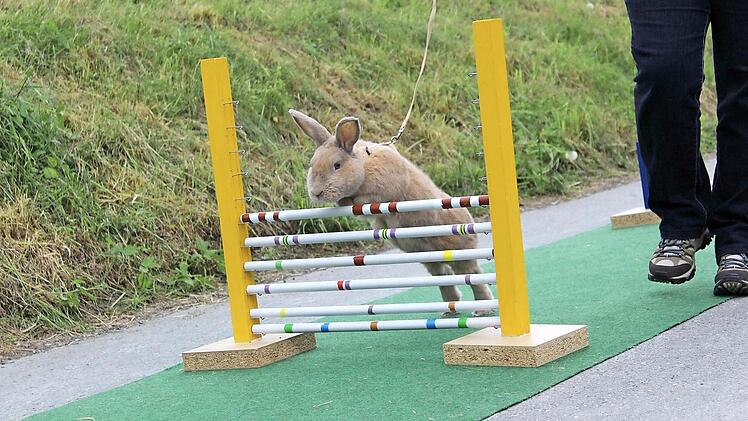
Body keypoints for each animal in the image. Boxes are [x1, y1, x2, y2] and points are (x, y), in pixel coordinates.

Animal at [289, 109, 494, 314]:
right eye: (311, 164)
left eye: (337, 165)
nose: (316, 193)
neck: (363, 165)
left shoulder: (380, 192)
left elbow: (364, 200)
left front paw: (348, 200)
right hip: (429, 257)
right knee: (444, 275)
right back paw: (449, 308)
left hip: (458, 251)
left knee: (472, 275)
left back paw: (482, 309)